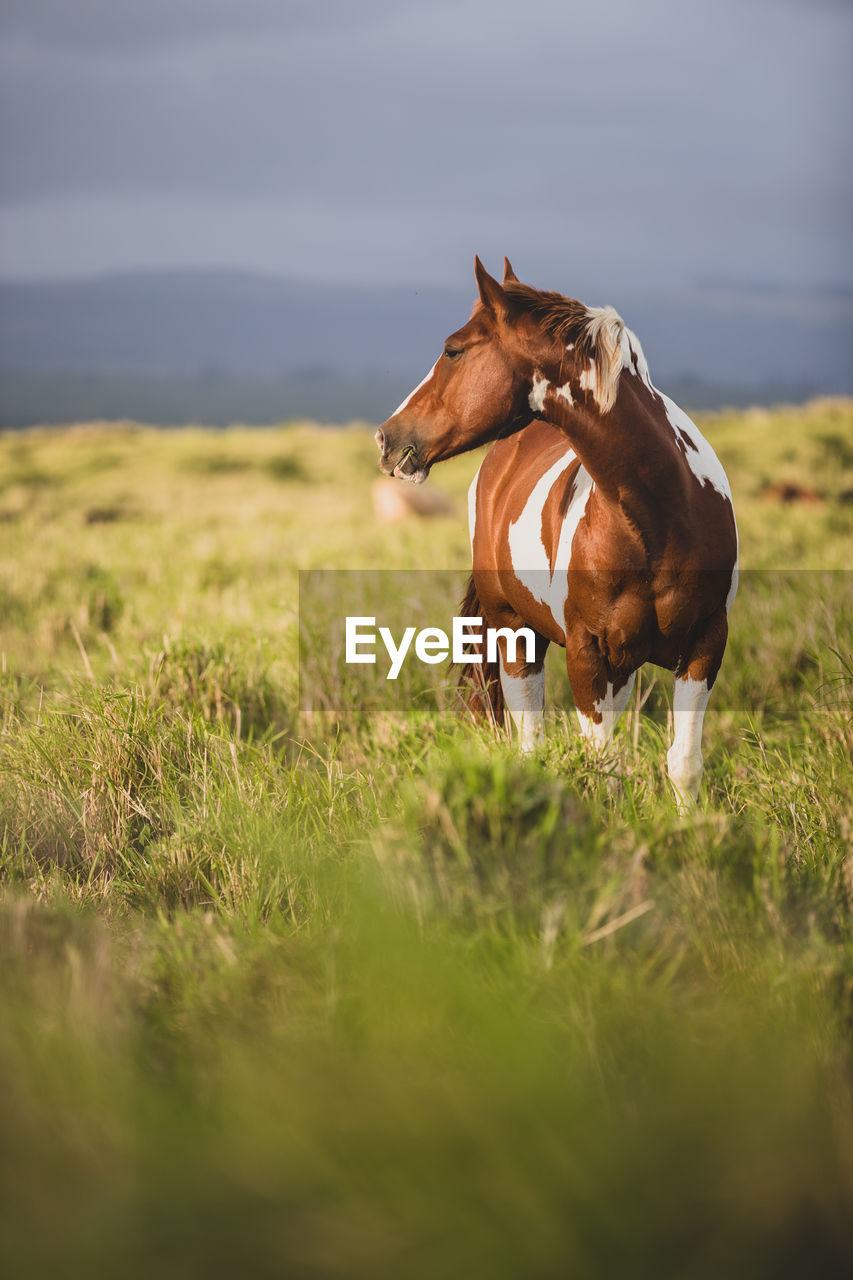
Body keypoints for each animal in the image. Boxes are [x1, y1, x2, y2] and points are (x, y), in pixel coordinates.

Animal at [373, 257, 737, 798]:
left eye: (452, 349)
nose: (386, 438)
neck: (660, 520)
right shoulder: (587, 654)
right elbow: (602, 766)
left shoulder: (704, 646)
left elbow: (684, 764)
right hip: (516, 635)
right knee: (530, 744)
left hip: (622, 666)